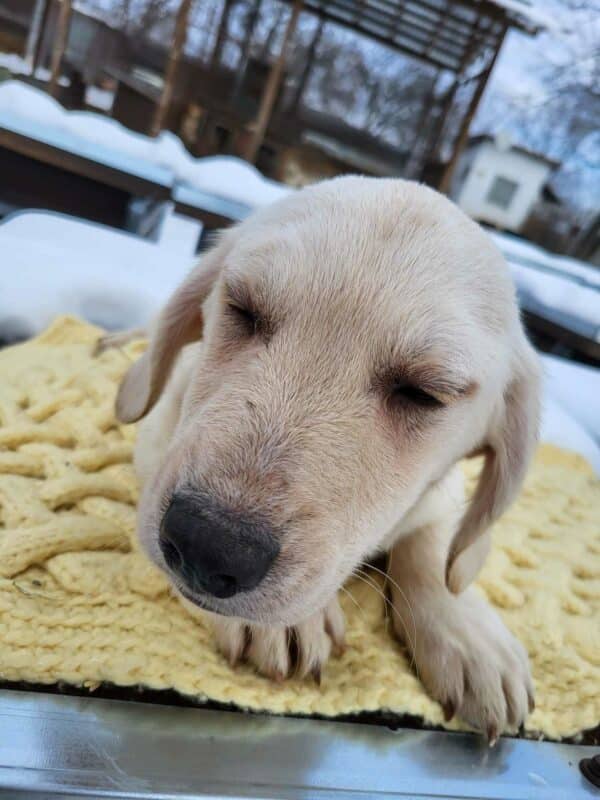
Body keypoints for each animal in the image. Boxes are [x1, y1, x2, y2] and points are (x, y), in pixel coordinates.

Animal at [112, 177, 540, 744]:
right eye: (243, 310)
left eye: (423, 393)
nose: (209, 545)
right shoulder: (160, 437)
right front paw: (289, 623)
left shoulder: (441, 493)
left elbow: (436, 550)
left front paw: (469, 635)